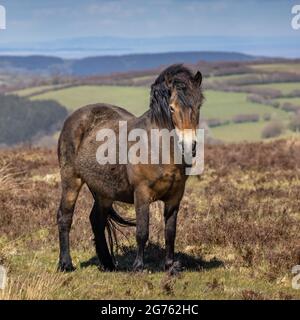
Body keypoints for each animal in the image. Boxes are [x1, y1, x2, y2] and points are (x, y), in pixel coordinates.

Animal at [57, 63, 203, 274]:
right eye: (172, 107)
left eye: (199, 106)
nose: (189, 145)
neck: (157, 148)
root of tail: (74, 118)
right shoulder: (141, 193)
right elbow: (142, 231)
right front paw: (139, 267)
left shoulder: (175, 196)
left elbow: (170, 232)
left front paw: (170, 266)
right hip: (71, 180)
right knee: (65, 217)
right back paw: (66, 264)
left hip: (104, 191)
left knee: (96, 220)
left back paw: (108, 264)